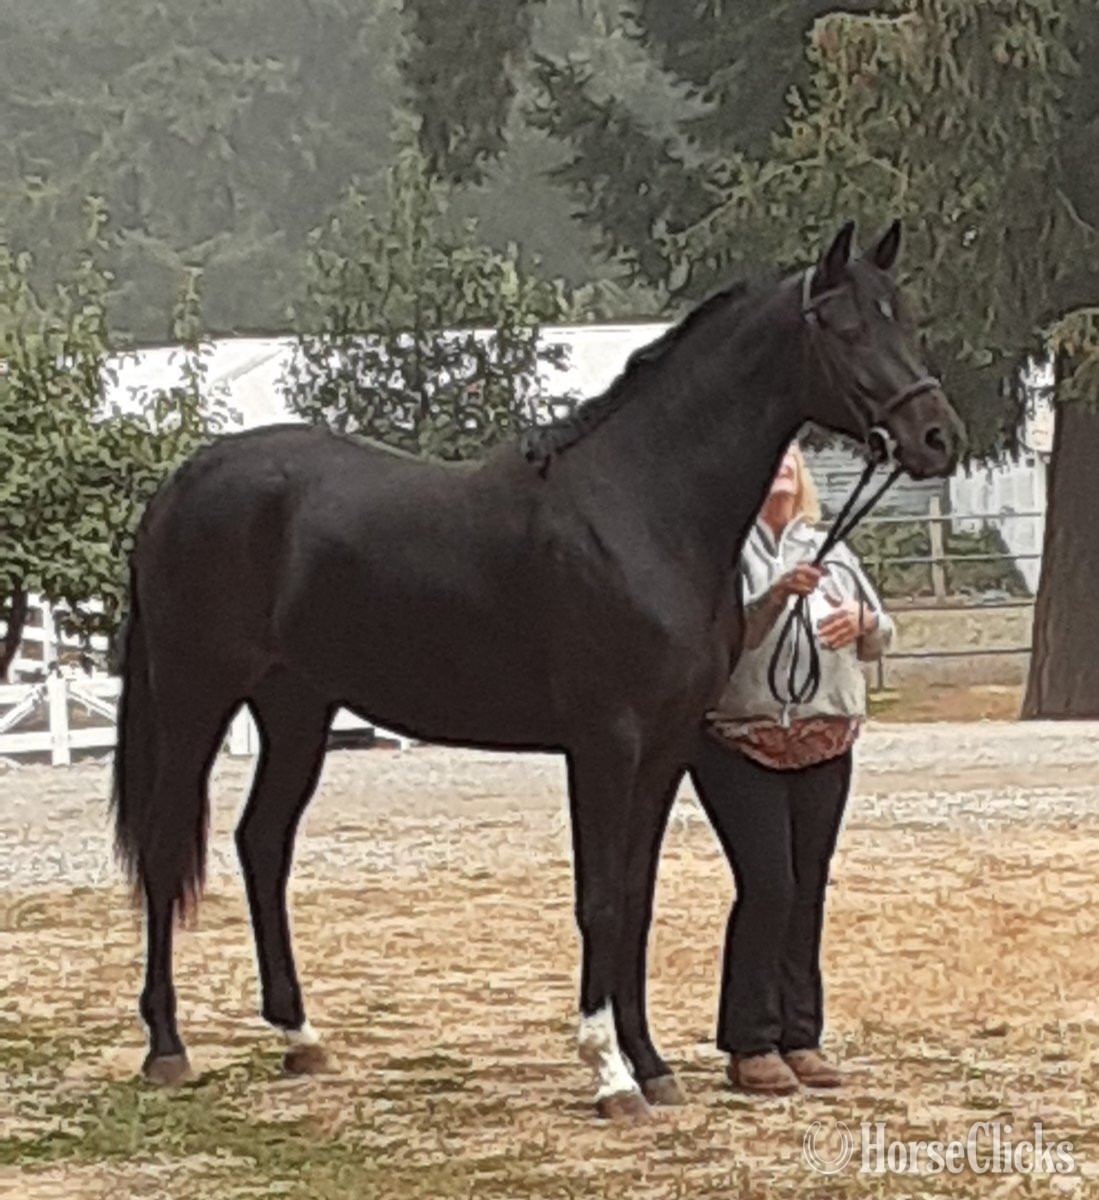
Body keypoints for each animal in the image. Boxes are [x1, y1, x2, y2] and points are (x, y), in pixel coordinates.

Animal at [110, 219, 964, 1122]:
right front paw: (609, 1072)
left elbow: (636, 899)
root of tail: (178, 487)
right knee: (165, 849)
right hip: (195, 698)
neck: (643, 504)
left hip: (296, 710)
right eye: (844, 327)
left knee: (262, 843)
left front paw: (650, 1062)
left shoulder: (666, 748)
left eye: (903, 317)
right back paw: (166, 1046)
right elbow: (600, 899)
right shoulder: (604, 743)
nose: (937, 437)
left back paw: (299, 1036)